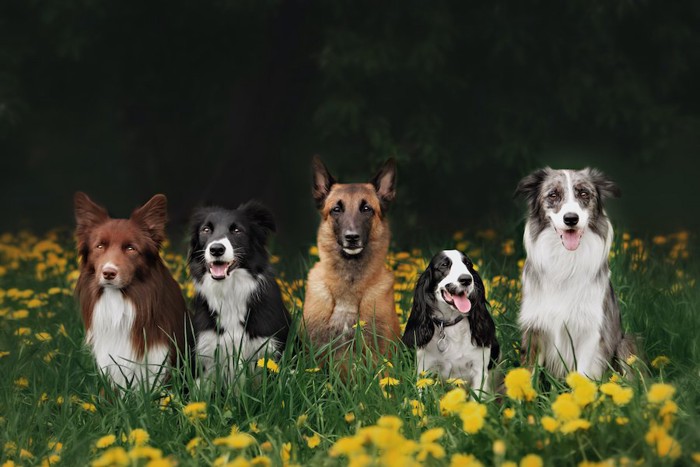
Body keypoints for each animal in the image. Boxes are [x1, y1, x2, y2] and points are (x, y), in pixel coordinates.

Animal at [187, 201, 292, 384]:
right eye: (206, 230)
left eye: (237, 230)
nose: (216, 249)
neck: (229, 293)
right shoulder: (206, 354)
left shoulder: (269, 348)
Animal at [402, 250, 500, 394]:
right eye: (444, 265)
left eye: (468, 264)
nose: (466, 279)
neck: (451, 325)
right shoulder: (425, 368)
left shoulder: (479, 370)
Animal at [516, 168, 636, 380]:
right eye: (553, 195)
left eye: (584, 194)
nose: (571, 219)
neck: (566, 260)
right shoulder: (535, 328)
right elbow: (528, 375)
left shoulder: (590, 331)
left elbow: (582, 377)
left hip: (625, 344)